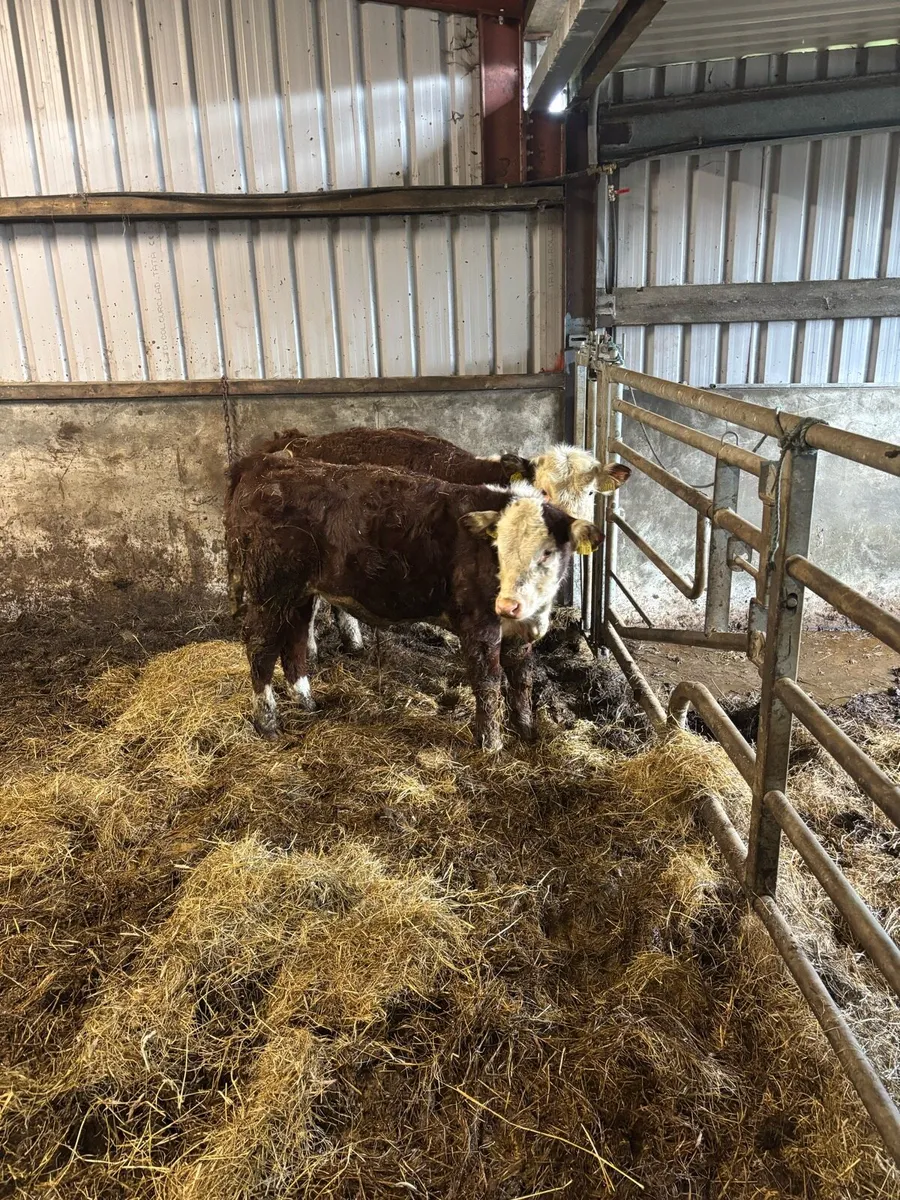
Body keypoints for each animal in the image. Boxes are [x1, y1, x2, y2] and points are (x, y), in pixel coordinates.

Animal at [225, 453, 602, 751]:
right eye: (498, 548)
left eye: (548, 552)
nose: (508, 604)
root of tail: (268, 463)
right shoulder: (478, 625)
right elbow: (488, 682)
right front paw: (491, 745)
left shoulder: (519, 631)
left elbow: (522, 677)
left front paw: (526, 731)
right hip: (269, 590)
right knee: (260, 647)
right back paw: (267, 723)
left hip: (300, 594)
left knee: (296, 641)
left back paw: (306, 701)